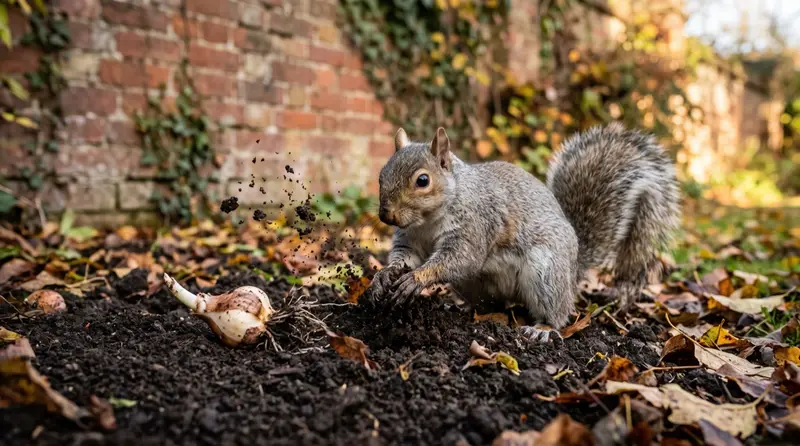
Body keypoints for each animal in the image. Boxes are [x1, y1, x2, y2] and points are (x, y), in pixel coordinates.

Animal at [368, 123, 680, 340]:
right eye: (382, 173)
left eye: (423, 180)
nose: (386, 214)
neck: (427, 221)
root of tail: (573, 268)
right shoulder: (410, 239)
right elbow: (404, 257)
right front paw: (384, 276)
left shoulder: (475, 226)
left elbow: (460, 258)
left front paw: (416, 279)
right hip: (472, 285)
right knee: (493, 304)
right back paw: (466, 309)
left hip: (547, 273)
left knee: (559, 313)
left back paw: (542, 328)